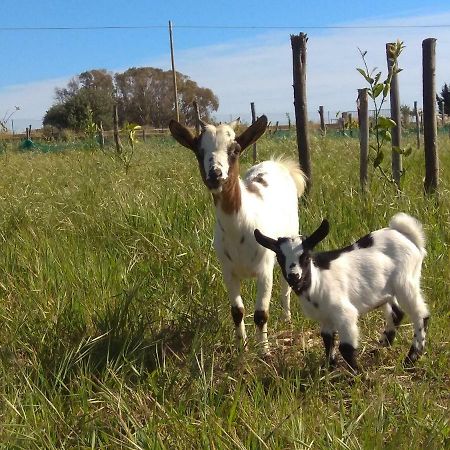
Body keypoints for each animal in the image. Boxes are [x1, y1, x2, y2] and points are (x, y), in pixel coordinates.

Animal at [169, 114, 306, 354]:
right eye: (199, 151)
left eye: (235, 150)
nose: (215, 175)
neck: (239, 229)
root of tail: (277, 163)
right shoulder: (228, 272)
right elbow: (237, 311)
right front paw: (241, 348)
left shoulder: (264, 271)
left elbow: (261, 314)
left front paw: (264, 351)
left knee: (285, 287)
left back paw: (287, 319)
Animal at [255, 214, 430, 372]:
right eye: (280, 257)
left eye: (306, 256)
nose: (294, 276)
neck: (316, 282)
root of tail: (405, 234)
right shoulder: (325, 318)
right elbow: (328, 340)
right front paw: (328, 369)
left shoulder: (345, 314)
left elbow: (345, 347)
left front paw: (357, 374)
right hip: (387, 291)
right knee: (396, 313)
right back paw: (379, 349)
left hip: (406, 282)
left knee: (421, 315)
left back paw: (411, 359)